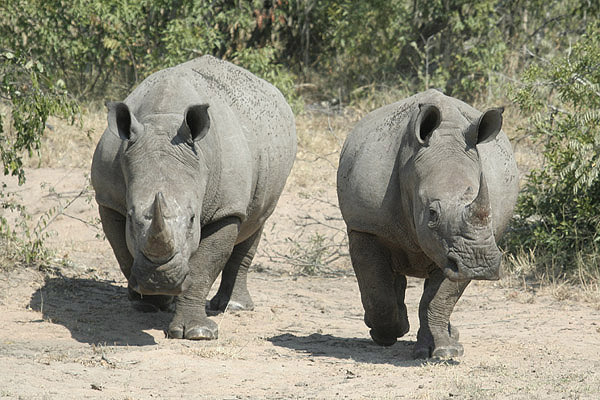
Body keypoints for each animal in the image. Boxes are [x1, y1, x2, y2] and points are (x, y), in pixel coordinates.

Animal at [91, 54, 296, 340]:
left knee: (256, 221)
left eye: (192, 219)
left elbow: (203, 268)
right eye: (131, 217)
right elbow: (121, 251)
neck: (163, 118)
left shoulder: (226, 209)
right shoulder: (108, 199)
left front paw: (197, 333)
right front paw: (151, 300)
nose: (161, 278)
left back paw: (234, 307)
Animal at [338, 90, 520, 360]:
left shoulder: (460, 250)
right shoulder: (367, 226)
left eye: (489, 212)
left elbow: (439, 299)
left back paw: (443, 341)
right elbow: (378, 294)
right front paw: (388, 332)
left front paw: (445, 351)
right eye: (432, 213)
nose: (479, 265)